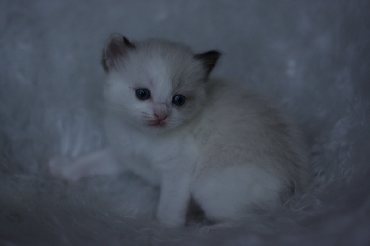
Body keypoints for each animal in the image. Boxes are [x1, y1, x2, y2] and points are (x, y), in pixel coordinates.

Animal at [48, 34, 310, 227]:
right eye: (142, 94)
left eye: (179, 100)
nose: (161, 115)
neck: (143, 137)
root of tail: (293, 185)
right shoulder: (124, 155)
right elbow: (91, 161)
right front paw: (64, 170)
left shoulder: (178, 171)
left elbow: (168, 212)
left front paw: (164, 232)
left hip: (206, 185)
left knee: (249, 220)